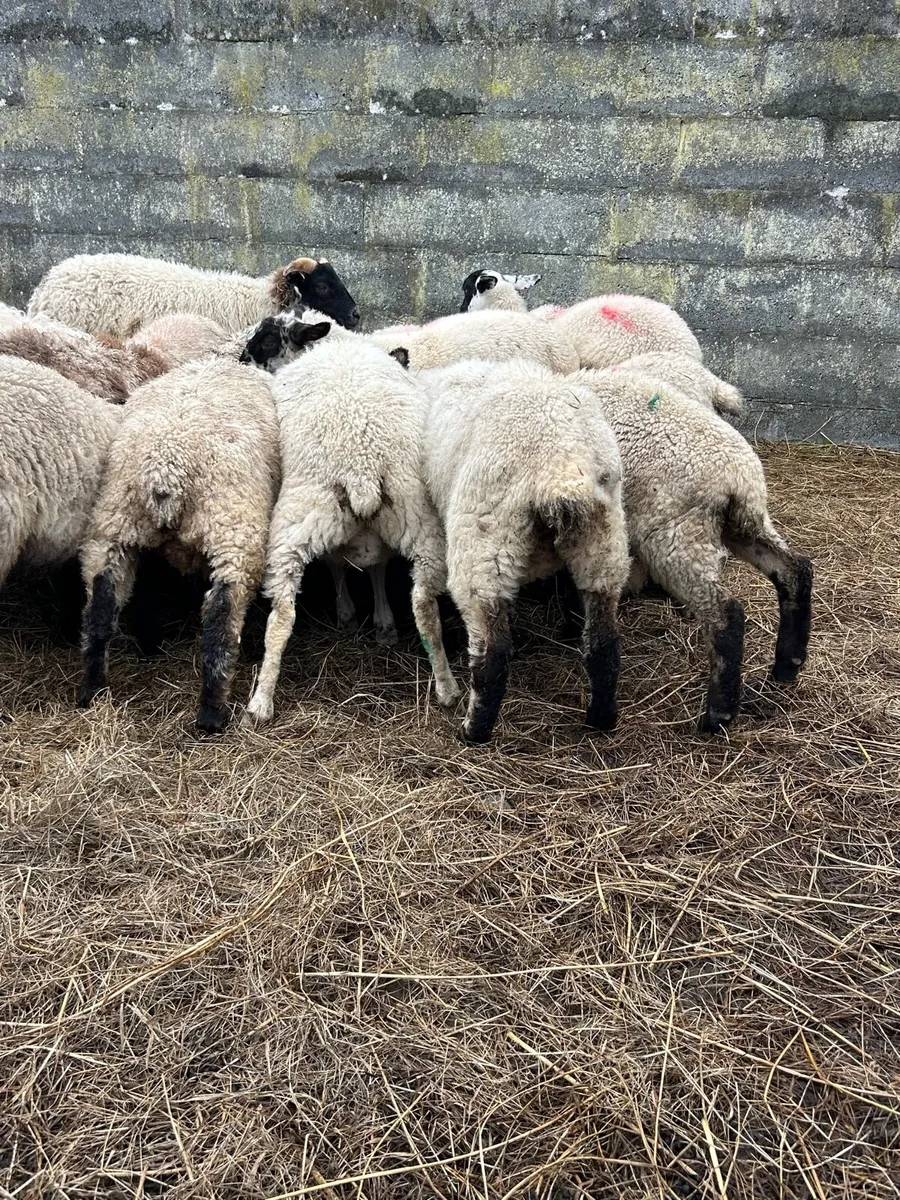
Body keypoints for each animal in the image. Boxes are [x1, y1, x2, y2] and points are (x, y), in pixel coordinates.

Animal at [76, 351, 283, 733]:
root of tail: (165, 469)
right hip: (233, 532)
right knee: (221, 619)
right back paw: (212, 714)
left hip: (113, 527)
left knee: (101, 605)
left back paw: (93, 689)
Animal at [244, 319, 459, 725]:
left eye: (265, 338)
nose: (241, 360)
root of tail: (362, 468)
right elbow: (374, 568)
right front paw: (381, 624)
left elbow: (335, 565)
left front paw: (347, 615)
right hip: (419, 519)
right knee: (425, 607)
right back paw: (447, 687)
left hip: (297, 519)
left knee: (282, 616)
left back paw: (261, 700)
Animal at [416, 357, 630, 743]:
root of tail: (561, 469)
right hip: (602, 542)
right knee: (604, 641)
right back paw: (601, 718)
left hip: (483, 544)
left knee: (493, 654)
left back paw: (475, 730)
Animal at [575, 369, 813, 733]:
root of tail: (737, 478)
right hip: (742, 523)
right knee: (794, 570)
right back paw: (788, 665)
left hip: (672, 534)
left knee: (725, 613)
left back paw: (718, 714)